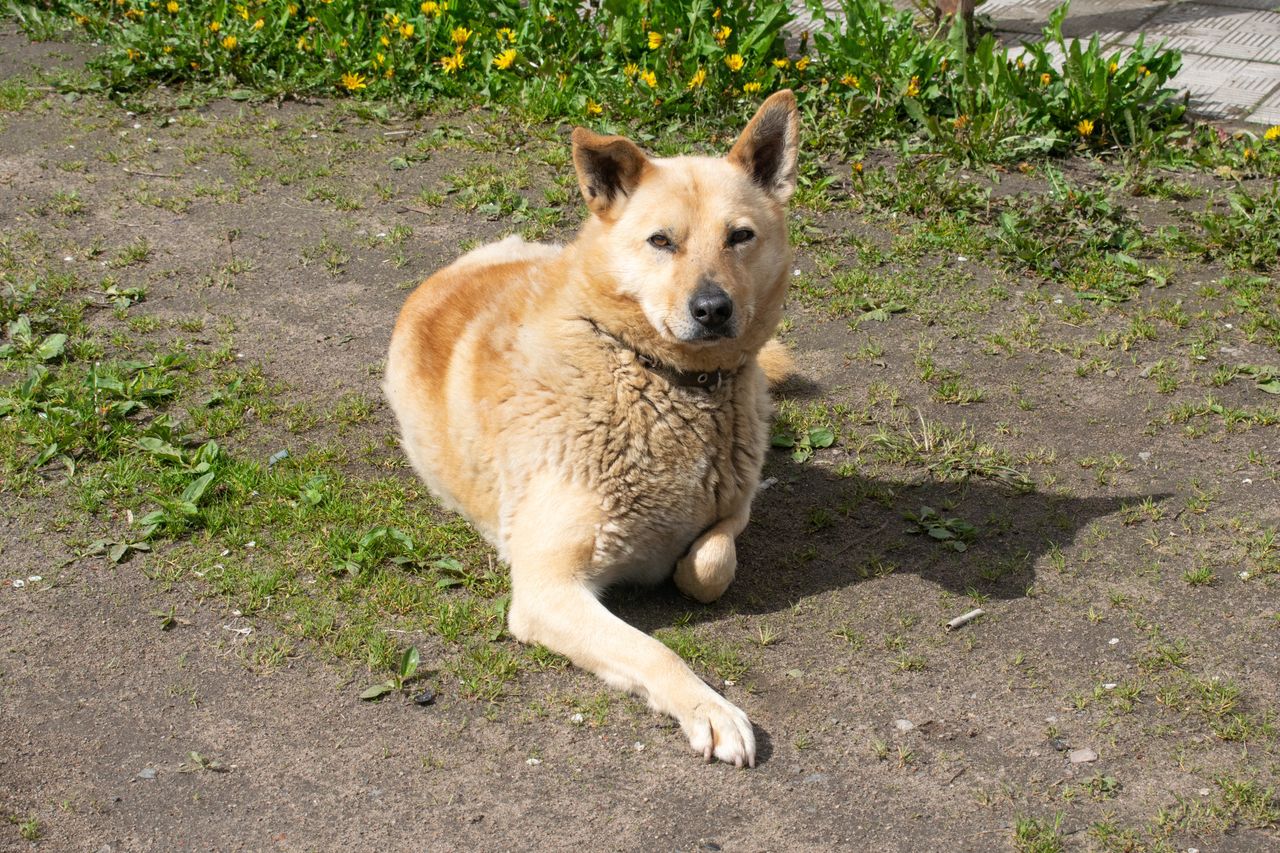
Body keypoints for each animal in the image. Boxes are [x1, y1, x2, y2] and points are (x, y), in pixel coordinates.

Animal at [384, 89, 793, 768]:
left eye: (740, 237)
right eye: (661, 241)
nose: (713, 309)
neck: (658, 377)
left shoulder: (733, 508)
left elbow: (710, 564)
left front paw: (683, 568)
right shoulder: (547, 589)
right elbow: (656, 649)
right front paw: (709, 710)